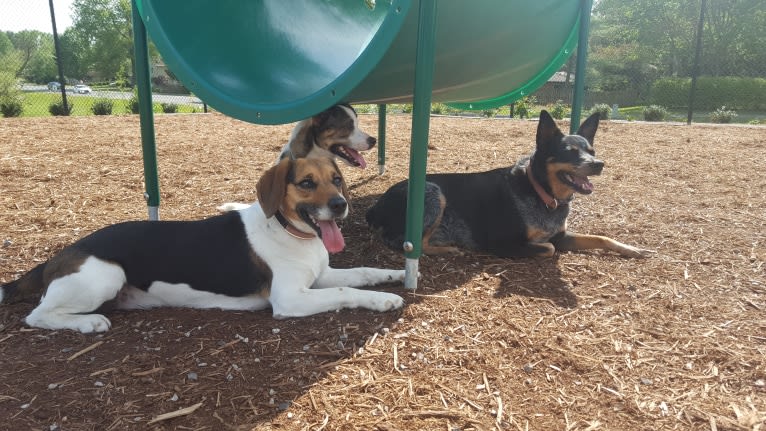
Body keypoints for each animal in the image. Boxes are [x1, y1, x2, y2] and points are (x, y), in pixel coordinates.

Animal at [366, 111, 656, 260]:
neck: (542, 195)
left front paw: (634, 249)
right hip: (433, 193)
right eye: (570, 152)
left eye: (592, 151)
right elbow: (548, 248)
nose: (599, 164)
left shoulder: (561, 235)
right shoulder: (501, 242)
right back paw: (447, 249)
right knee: (402, 242)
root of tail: (376, 206)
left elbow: (601, 238)